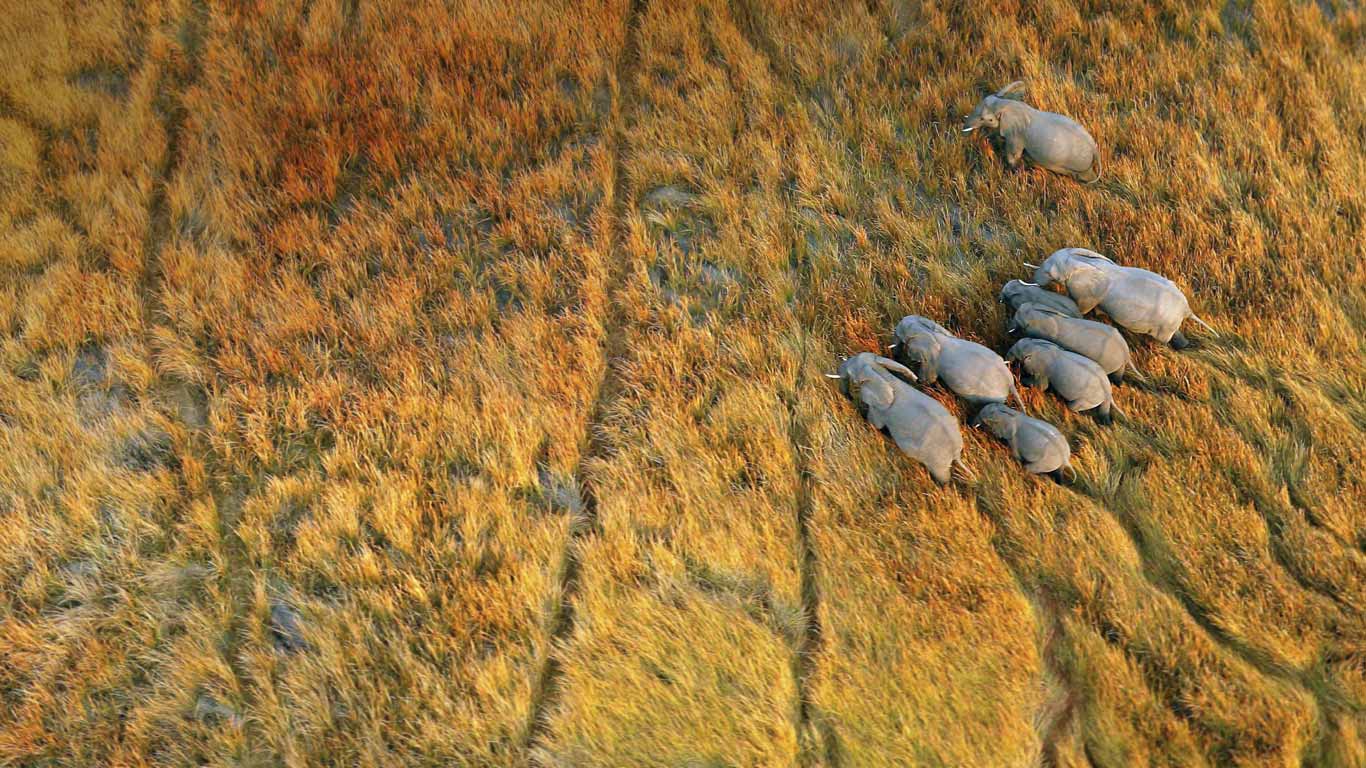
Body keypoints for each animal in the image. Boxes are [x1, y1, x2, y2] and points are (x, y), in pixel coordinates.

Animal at [826, 353, 964, 485]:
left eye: (851, 373)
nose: (848, 397)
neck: (880, 373)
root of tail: (956, 452)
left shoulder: (879, 410)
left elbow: (874, 423)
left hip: (937, 460)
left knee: (942, 477)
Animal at [892, 315, 1022, 408]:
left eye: (900, 330)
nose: (895, 357)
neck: (929, 331)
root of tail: (1010, 382)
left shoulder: (932, 361)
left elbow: (928, 380)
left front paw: (919, 382)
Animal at [962, 81, 1101, 183]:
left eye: (985, 119)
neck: (1006, 103)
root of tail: (1095, 150)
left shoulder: (1016, 134)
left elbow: (1013, 156)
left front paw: (1015, 172)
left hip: (1079, 163)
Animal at [1028, 247, 1215, 349]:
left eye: (1050, 273)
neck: (1080, 261)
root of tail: (1187, 310)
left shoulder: (1086, 292)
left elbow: (1082, 308)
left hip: (1164, 326)